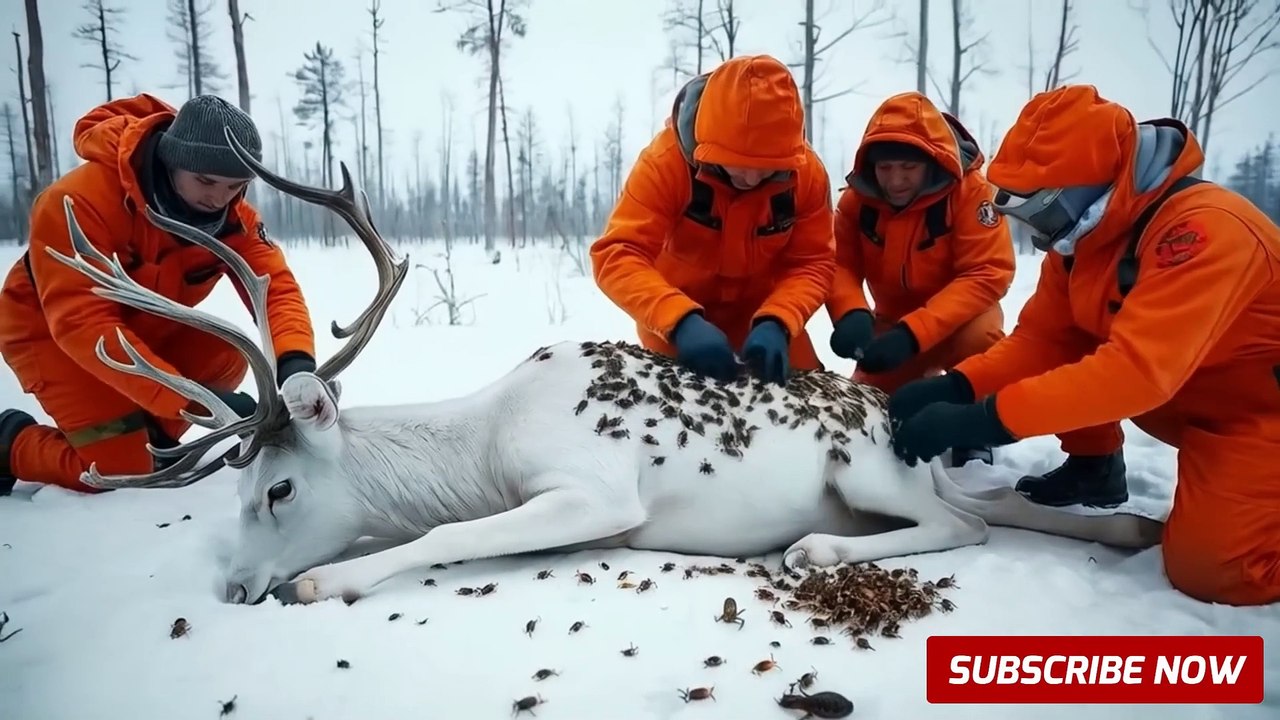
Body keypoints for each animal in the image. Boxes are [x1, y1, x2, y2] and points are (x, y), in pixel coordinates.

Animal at [42, 127, 1166, 607]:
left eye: (278, 488)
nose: (234, 587)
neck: (479, 447)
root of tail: (899, 423)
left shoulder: (592, 491)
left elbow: (447, 536)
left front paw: (325, 580)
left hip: (866, 471)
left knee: (966, 525)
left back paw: (811, 550)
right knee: (994, 509)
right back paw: (1126, 527)